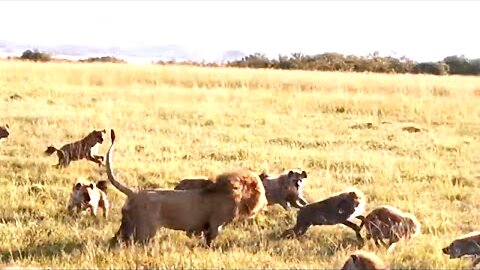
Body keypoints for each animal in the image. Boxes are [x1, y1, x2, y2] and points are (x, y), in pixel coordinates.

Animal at [106, 130, 268, 247]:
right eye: (258, 189)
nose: (264, 201)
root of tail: (134, 193)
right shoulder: (215, 224)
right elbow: (209, 242)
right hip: (144, 231)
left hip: (128, 227)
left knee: (116, 240)